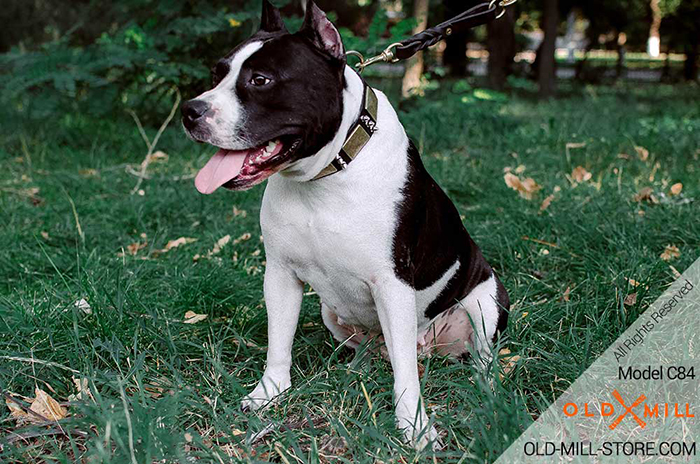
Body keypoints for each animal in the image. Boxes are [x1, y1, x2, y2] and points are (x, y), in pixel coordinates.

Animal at [182, 0, 508, 450]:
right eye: (217, 75)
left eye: (260, 80)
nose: (190, 110)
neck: (324, 177)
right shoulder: (280, 275)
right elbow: (278, 342)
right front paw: (269, 393)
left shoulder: (393, 285)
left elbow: (406, 373)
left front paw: (414, 426)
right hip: (331, 312)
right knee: (375, 348)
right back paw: (357, 368)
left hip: (485, 300)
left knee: (476, 354)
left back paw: (487, 389)